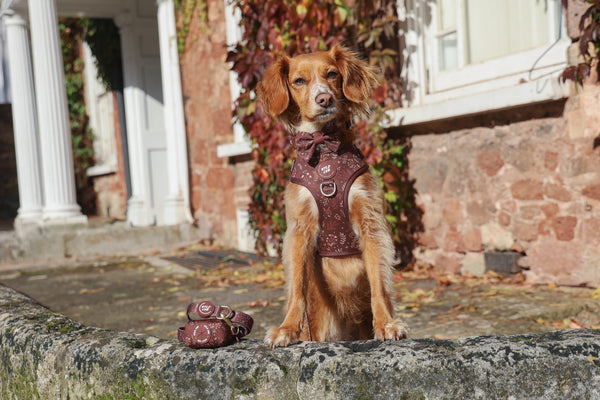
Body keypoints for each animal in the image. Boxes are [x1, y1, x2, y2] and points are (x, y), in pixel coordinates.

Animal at [255, 44, 410, 346]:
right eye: (298, 81)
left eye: (332, 74)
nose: (324, 98)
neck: (324, 150)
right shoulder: (299, 229)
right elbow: (296, 288)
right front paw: (286, 329)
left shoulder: (371, 223)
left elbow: (379, 283)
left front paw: (386, 324)